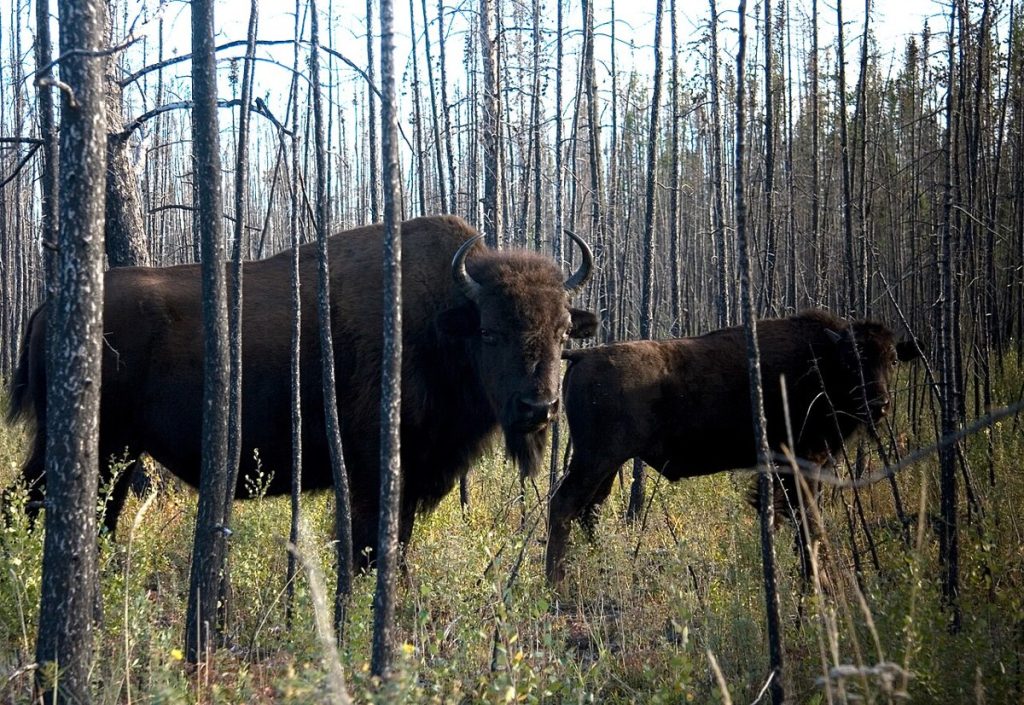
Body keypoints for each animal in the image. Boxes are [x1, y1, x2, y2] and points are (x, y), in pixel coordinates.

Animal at [7, 215, 598, 561]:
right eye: (491, 331)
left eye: (563, 330)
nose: (539, 407)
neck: (440, 320)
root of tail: (47, 305)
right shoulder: (372, 474)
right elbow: (369, 547)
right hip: (93, 445)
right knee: (34, 499)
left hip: (121, 452)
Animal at [545, 309, 919, 586]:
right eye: (851, 362)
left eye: (892, 360)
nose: (878, 404)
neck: (820, 361)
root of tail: (584, 354)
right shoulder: (805, 462)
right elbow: (808, 522)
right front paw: (818, 584)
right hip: (596, 458)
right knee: (564, 505)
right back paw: (557, 584)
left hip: (607, 464)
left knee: (590, 509)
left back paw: (601, 565)